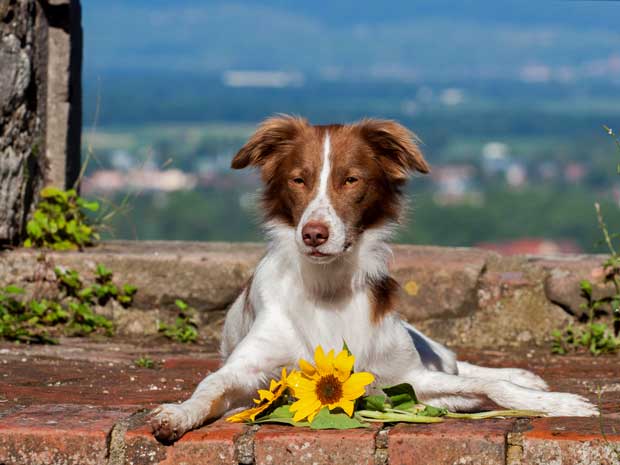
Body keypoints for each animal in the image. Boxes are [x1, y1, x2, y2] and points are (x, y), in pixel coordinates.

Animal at [150, 116, 596, 442]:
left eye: (351, 179)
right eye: (298, 179)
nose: (313, 234)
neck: (328, 287)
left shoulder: (407, 378)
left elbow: (495, 387)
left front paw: (562, 403)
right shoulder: (249, 373)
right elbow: (208, 388)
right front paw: (176, 414)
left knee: (460, 365)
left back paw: (526, 376)